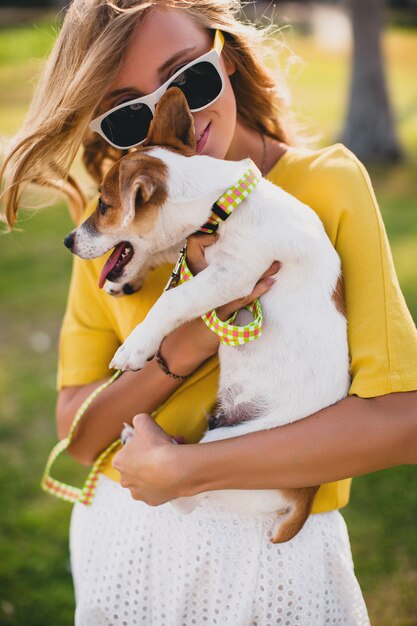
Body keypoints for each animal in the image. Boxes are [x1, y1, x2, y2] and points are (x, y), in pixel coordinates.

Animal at [65, 89, 350, 540]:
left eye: (104, 206)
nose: (68, 241)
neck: (221, 206)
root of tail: (305, 495)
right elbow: (165, 256)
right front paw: (126, 281)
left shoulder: (235, 275)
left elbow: (172, 300)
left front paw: (137, 346)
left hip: (229, 454)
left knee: (185, 495)